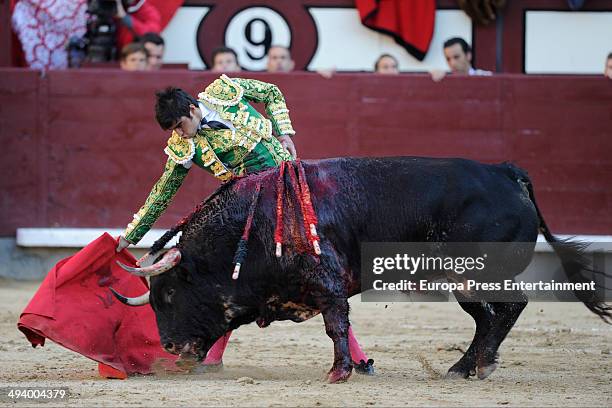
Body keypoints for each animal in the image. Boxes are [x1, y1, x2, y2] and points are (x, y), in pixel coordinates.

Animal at [112, 157, 608, 382]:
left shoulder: (328, 284)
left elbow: (336, 324)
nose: (168, 345)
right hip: (461, 278)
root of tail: (508, 172)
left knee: (507, 308)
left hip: (472, 272)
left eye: (169, 295)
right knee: (490, 316)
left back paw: (479, 367)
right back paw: (465, 367)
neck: (250, 226)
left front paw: (339, 372)